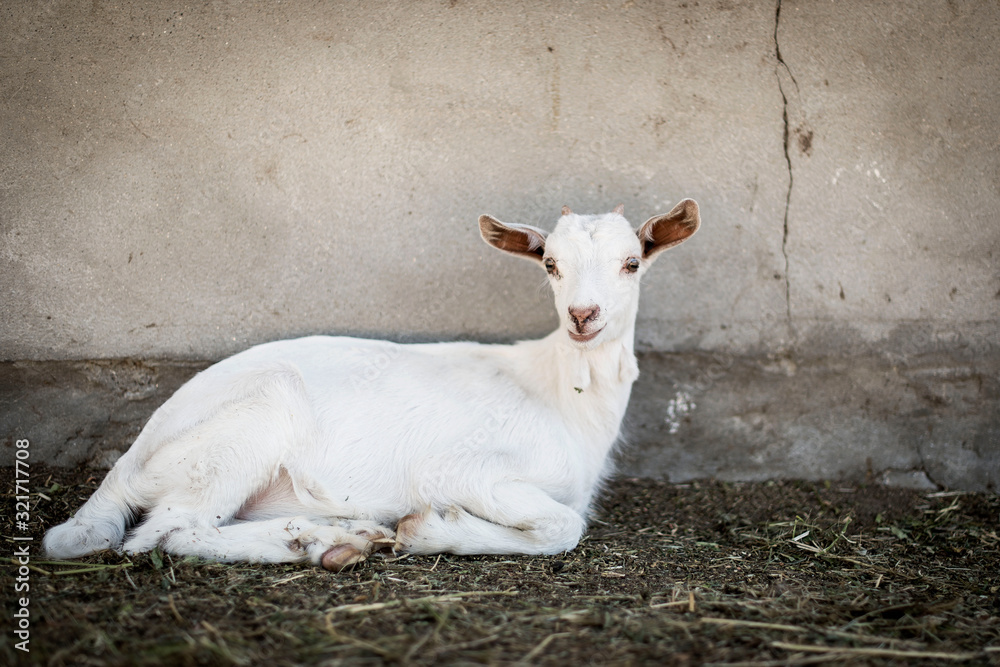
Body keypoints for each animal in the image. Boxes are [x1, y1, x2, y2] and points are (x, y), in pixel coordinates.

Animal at [43, 199, 700, 571]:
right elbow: (564, 525)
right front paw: (433, 529)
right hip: (246, 427)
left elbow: (567, 521)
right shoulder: (459, 468)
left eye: (632, 262)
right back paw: (313, 544)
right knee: (166, 533)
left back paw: (341, 535)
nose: (583, 316)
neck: (565, 397)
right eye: (550, 265)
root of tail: (128, 462)